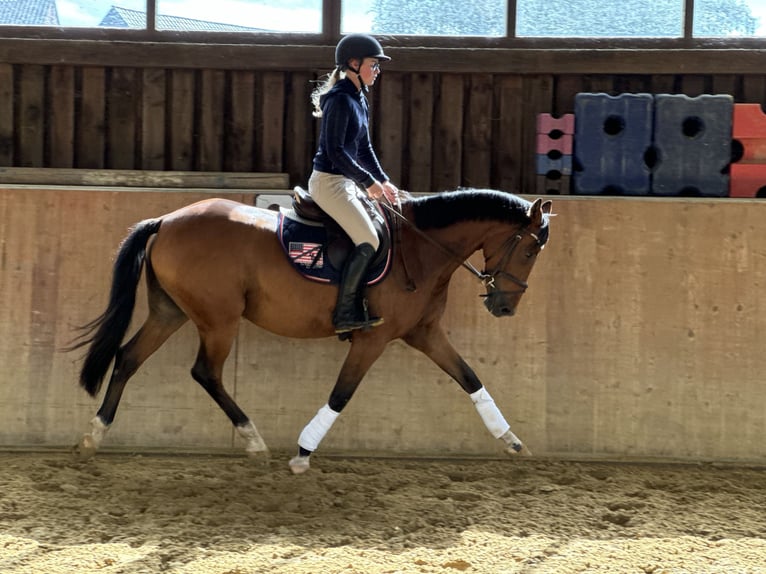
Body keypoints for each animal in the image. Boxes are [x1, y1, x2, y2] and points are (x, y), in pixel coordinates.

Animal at [70, 189, 552, 472]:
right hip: (218, 318)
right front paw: (303, 452)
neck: (419, 248)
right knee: (205, 372)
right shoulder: (373, 339)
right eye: (529, 250)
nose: (504, 306)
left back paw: (95, 435)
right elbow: (342, 393)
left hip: (171, 312)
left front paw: (513, 442)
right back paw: (253, 440)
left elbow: (470, 378)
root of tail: (167, 220)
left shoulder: (425, 334)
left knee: (129, 357)